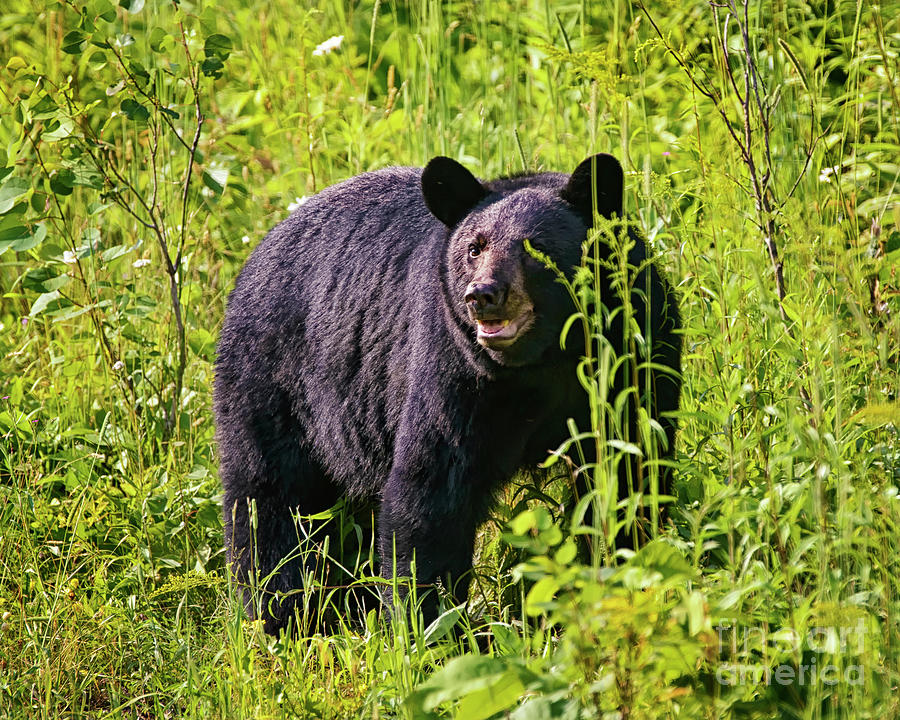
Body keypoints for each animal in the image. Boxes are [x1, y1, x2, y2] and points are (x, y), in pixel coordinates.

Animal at [216, 155, 684, 632]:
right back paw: (282, 614)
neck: (543, 362)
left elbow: (631, 469)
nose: (483, 295)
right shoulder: (452, 370)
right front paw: (431, 625)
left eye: (534, 246)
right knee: (268, 499)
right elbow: (431, 492)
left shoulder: (637, 348)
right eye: (475, 248)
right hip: (274, 381)